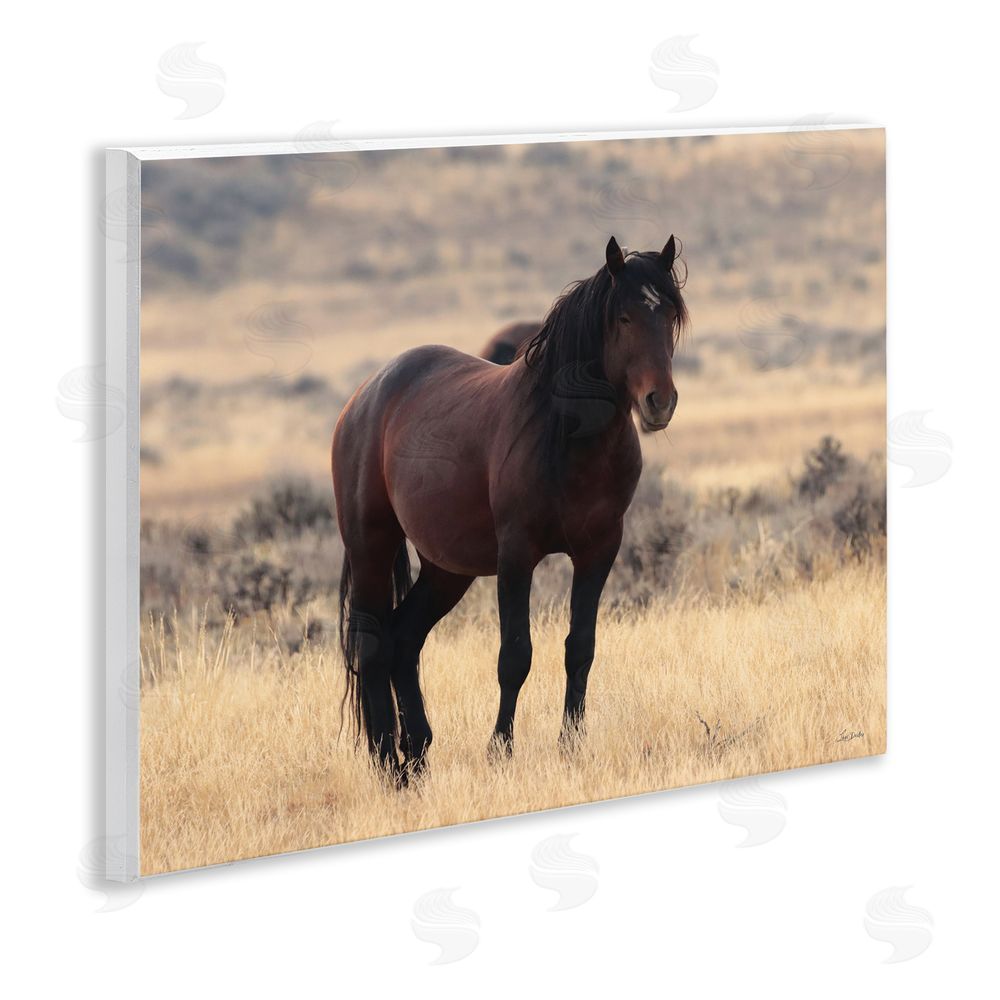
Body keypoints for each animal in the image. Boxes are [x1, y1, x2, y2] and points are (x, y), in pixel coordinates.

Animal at [332, 235, 688, 782]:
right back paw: (389, 765)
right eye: (624, 317)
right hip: (372, 547)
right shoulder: (517, 556)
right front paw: (500, 749)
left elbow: (580, 648)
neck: (568, 438)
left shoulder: (599, 551)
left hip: (446, 570)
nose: (659, 402)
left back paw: (418, 756)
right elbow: (515, 656)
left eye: (669, 314)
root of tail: (363, 398)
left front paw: (571, 745)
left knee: (404, 641)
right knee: (373, 646)